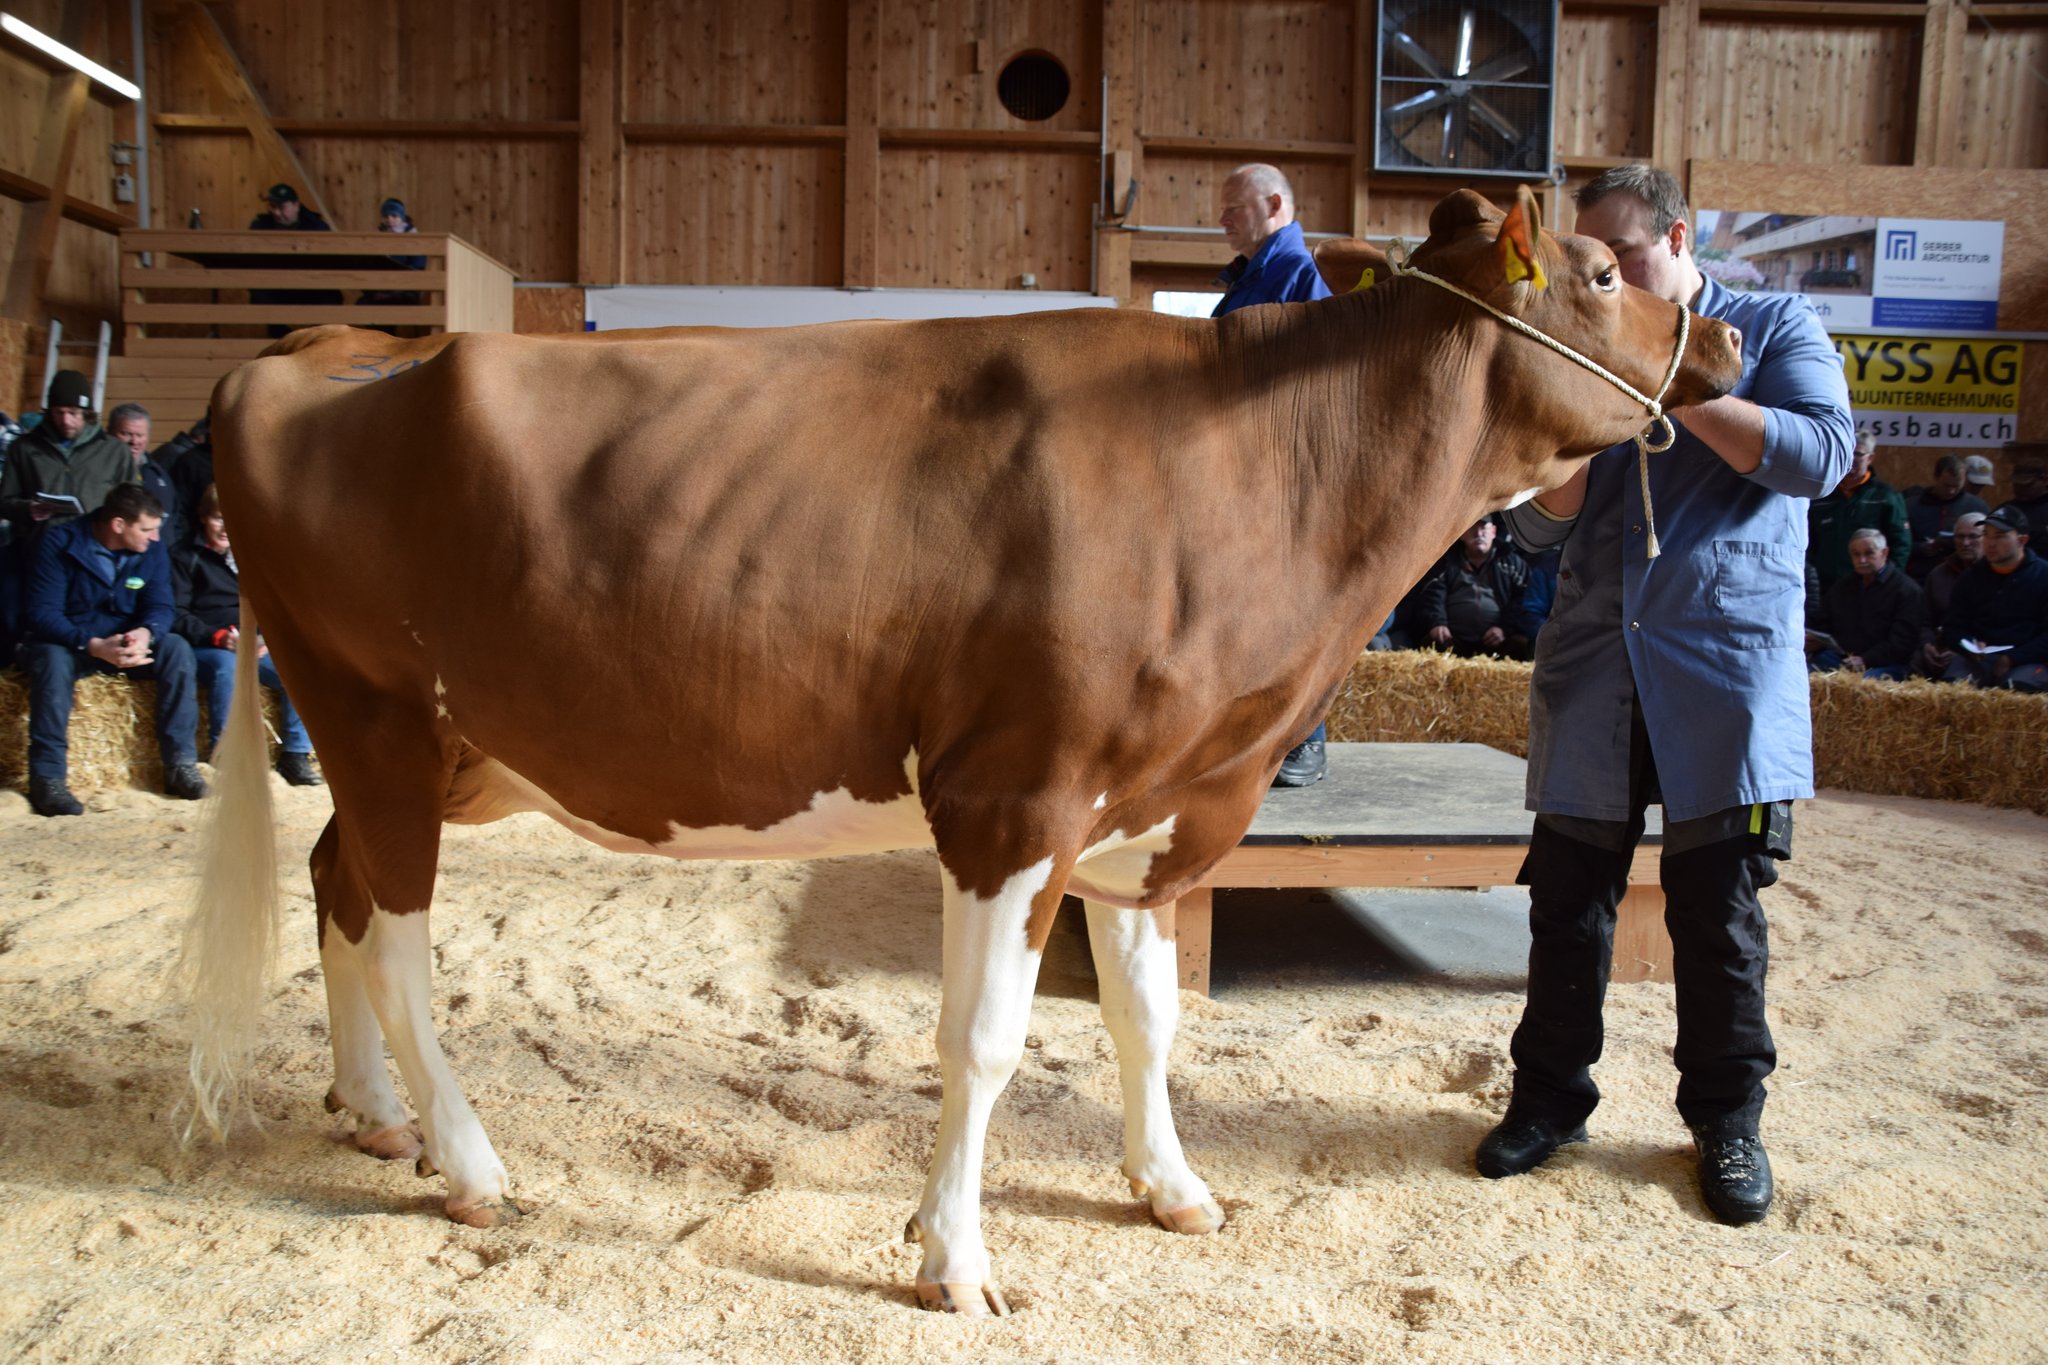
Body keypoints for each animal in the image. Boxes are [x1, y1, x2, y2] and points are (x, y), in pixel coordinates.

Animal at [178, 186, 1745, 1315]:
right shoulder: (1013, 799)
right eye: (1600, 276)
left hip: (447, 748)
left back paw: (376, 1115)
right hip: (374, 710)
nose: (1727, 335)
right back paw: (465, 1159)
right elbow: (982, 1040)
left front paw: (1170, 1187)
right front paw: (954, 1258)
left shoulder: (1144, 809)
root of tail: (323, 347)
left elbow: (1148, 1020)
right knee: (395, 938)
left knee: (338, 886)